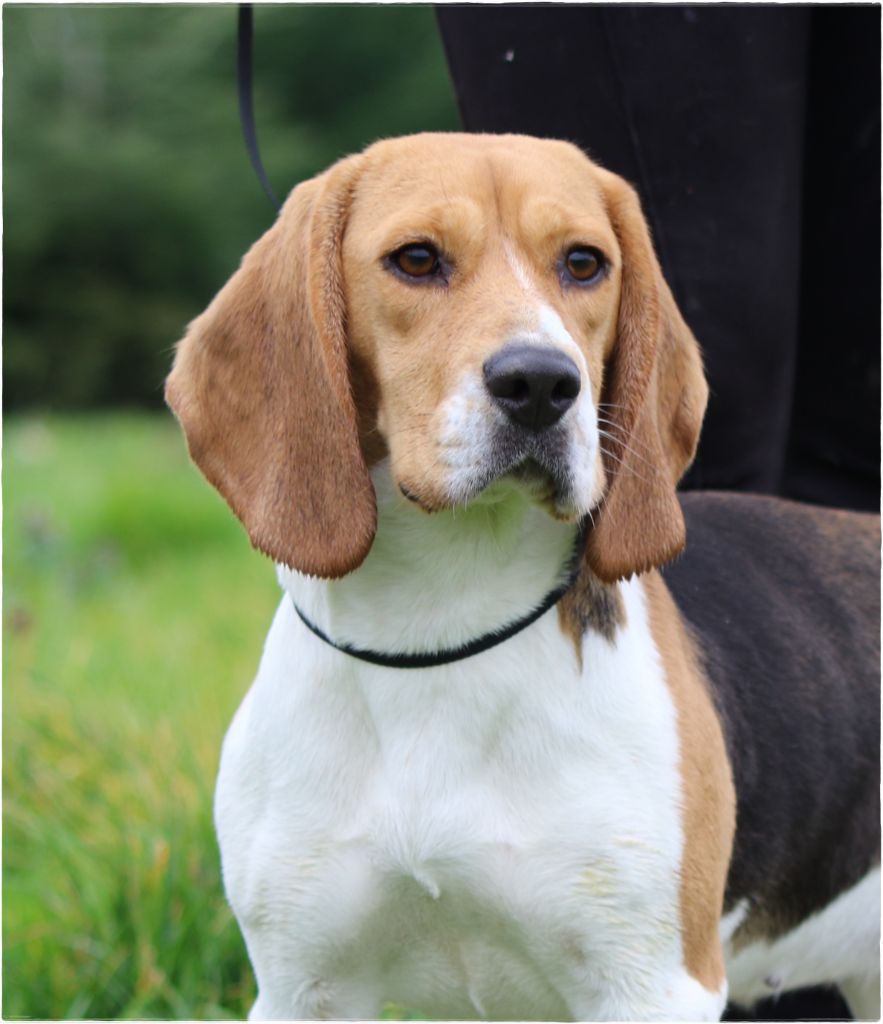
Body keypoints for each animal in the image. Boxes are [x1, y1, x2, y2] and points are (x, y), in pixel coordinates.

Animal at [166, 133, 880, 1021]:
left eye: (582, 262)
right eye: (415, 259)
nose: (541, 382)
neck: (440, 624)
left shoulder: (649, 987)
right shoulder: (305, 989)